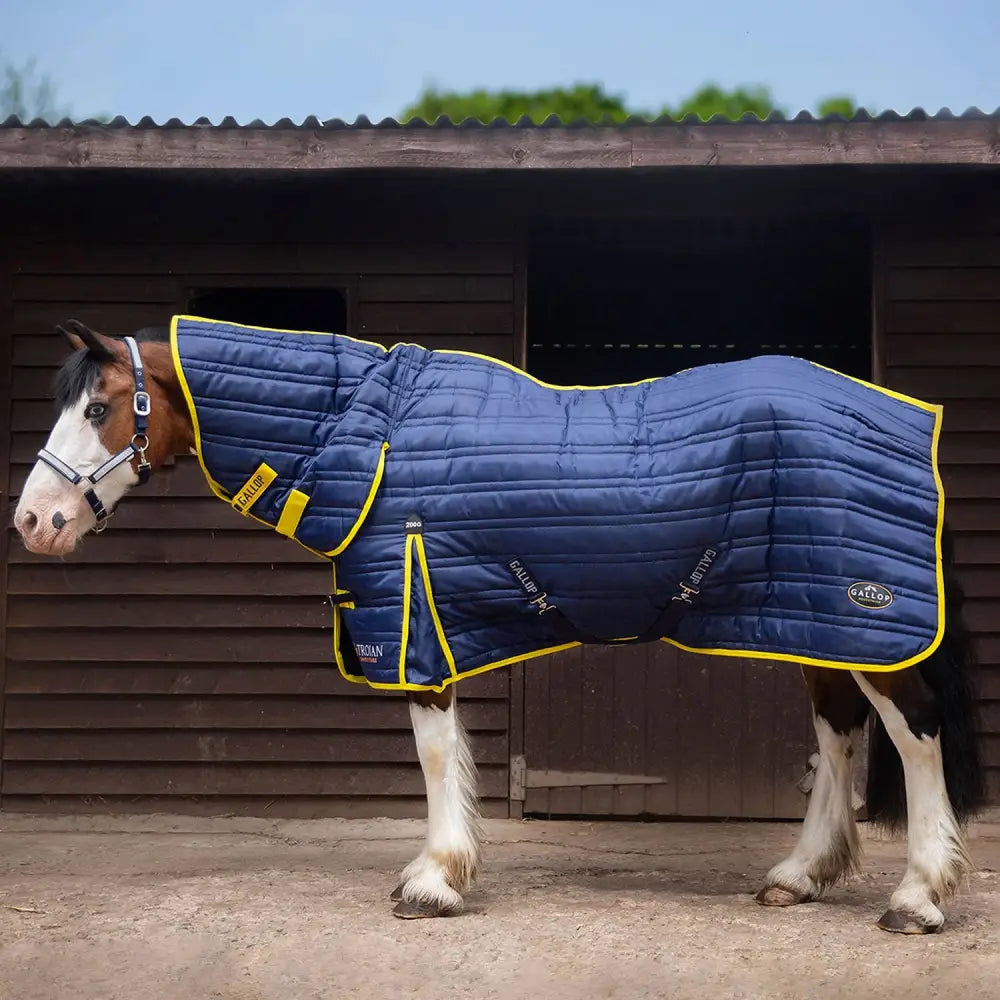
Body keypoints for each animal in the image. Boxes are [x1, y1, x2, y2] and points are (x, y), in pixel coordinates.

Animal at [12, 318, 985, 934]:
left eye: (97, 407)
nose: (32, 522)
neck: (366, 436)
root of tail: (904, 421)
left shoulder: (414, 615)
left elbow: (435, 753)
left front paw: (434, 882)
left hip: (863, 619)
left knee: (916, 732)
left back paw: (919, 898)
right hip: (812, 620)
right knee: (840, 730)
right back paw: (799, 876)